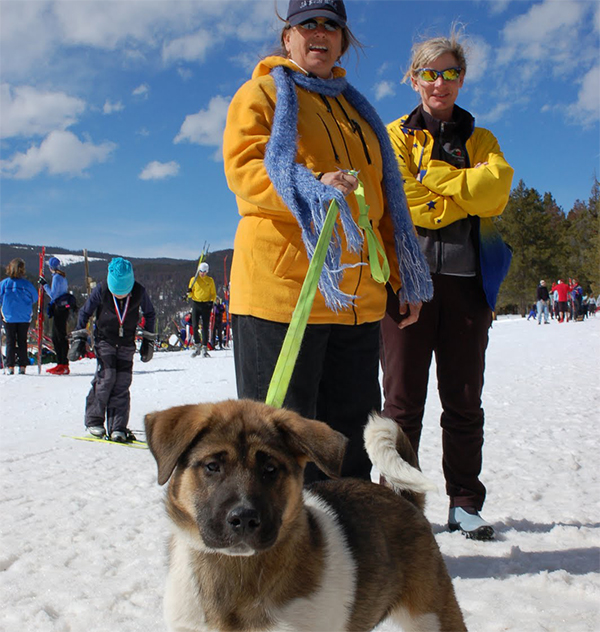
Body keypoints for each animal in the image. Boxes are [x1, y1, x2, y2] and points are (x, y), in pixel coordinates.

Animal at [146, 400, 468, 632]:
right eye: (212, 466)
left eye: (270, 469)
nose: (245, 519)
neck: (235, 572)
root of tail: (405, 500)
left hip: (433, 615)